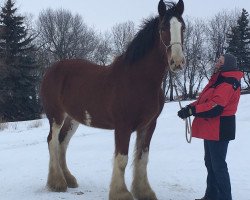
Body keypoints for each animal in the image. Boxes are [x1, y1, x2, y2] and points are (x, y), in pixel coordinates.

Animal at [40, 0, 186, 199]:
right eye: (163, 28)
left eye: (183, 27)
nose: (177, 62)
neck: (139, 80)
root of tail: (50, 70)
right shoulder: (123, 125)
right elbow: (122, 159)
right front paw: (121, 193)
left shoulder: (149, 125)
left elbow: (142, 158)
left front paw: (144, 191)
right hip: (56, 116)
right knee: (52, 141)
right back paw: (57, 183)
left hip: (73, 119)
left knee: (62, 142)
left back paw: (68, 179)